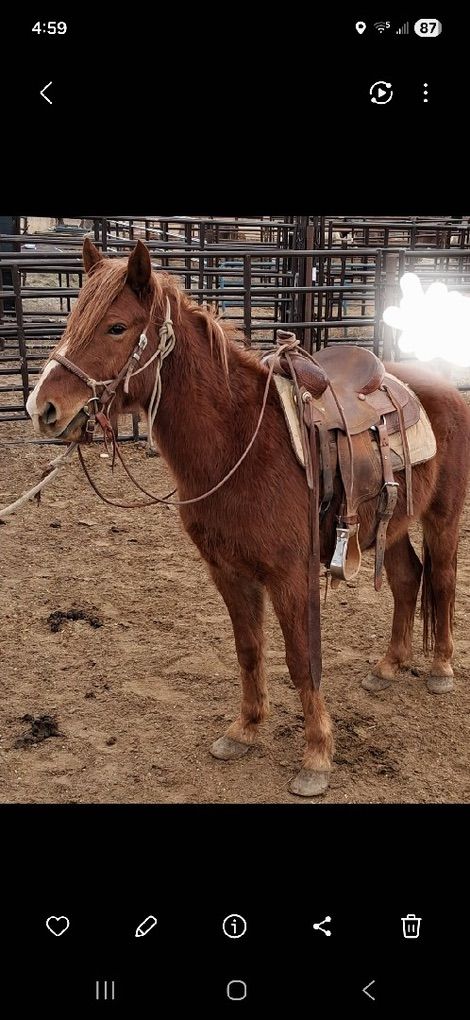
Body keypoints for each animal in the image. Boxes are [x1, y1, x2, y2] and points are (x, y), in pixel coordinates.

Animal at [26, 238, 470, 797]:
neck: (239, 444)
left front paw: (316, 757)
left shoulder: (289, 575)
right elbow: (249, 649)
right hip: (390, 526)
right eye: (73, 319)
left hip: (442, 518)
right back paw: (389, 665)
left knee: (443, 581)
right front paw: (245, 729)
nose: (42, 408)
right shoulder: (228, 572)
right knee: (409, 579)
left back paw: (440, 669)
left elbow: (302, 661)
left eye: (116, 327)